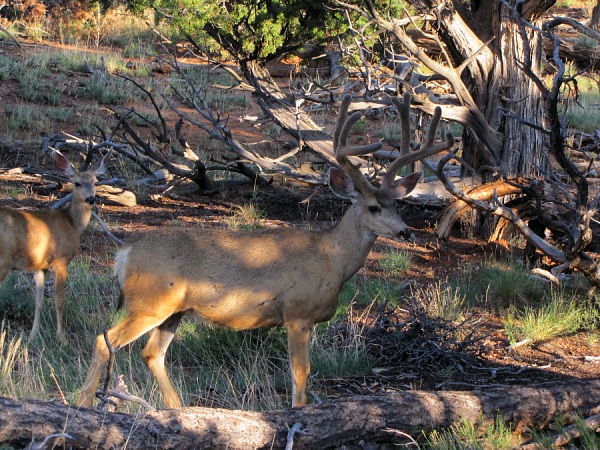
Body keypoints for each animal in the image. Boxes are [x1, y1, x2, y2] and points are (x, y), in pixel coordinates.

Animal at [0, 149, 111, 342]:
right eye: (77, 183)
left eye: (96, 182)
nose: (91, 199)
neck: (73, 223)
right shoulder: (62, 260)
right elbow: (59, 301)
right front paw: (62, 338)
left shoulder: (40, 266)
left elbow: (39, 301)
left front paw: (33, 335)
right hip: (4, 261)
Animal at [79, 94, 454, 408]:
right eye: (374, 207)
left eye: (397, 203)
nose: (405, 231)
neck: (332, 260)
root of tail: (124, 255)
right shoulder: (297, 313)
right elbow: (300, 375)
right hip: (150, 301)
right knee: (104, 340)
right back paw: (85, 405)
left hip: (174, 310)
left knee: (151, 353)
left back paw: (177, 409)